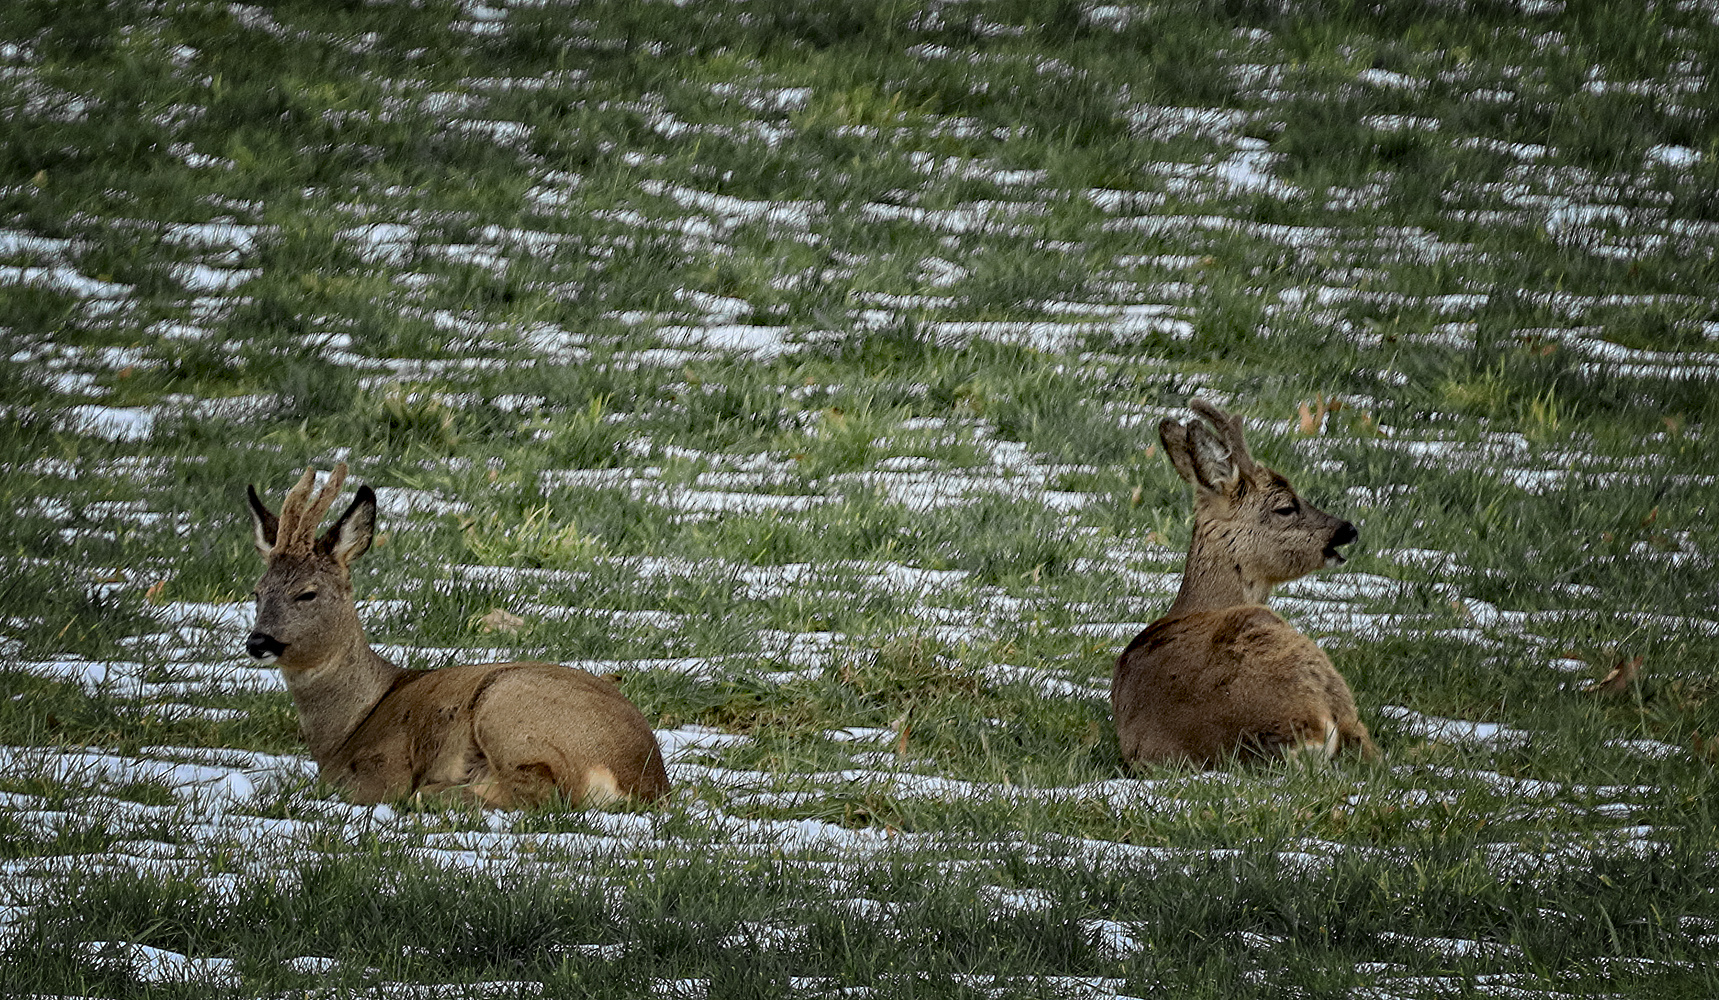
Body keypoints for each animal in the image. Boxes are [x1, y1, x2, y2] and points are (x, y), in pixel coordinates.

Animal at [244, 467, 670, 810]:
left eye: (307, 593)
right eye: (257, 591)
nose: (257, 643)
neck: (348, 728)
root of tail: (647, 780)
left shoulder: (385, 767)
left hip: (507, 707)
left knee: (541, 793)